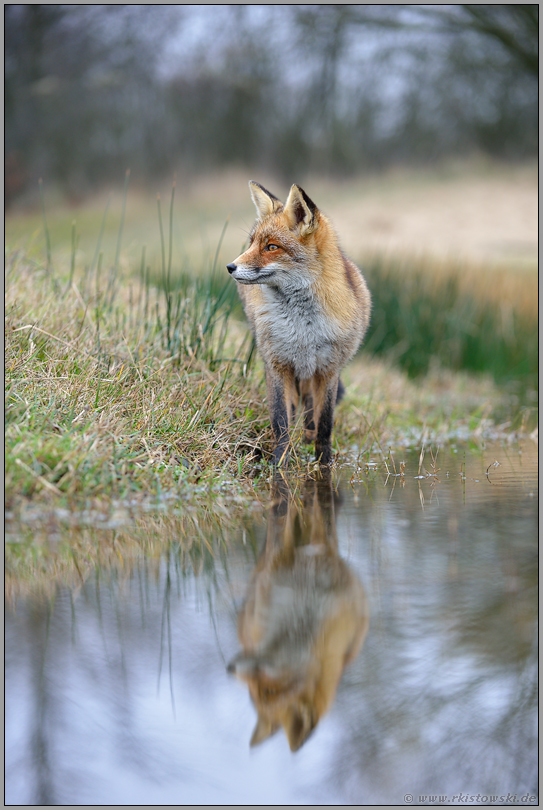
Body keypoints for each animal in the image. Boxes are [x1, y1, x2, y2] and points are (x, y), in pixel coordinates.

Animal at [227, 181, 372, 464]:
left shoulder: (328, 369)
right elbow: (280, 421)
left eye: (272, 247)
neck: (302, 327)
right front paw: (279, 463)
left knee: (309, 410)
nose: (230, 267)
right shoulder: (277, 365)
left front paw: (323, 462)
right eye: (252, 243)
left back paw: (306, 436)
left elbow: (325, 423)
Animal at [227, 474, 368, 752]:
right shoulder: (277, 567)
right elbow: (282, 521)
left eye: (270, 691)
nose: (230, 670)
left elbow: (323, 518)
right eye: (253, 692)